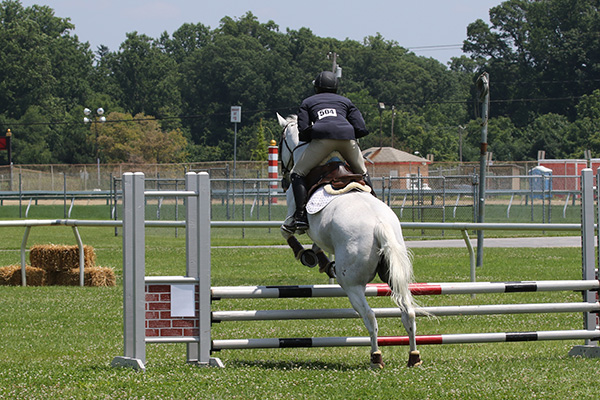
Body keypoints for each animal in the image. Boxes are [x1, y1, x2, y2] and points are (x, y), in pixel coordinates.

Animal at [278, 113, 422, 368]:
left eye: (279, 143)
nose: (283, 177)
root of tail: (379, 225)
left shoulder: (294, 216)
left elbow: (288, 231)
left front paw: (305, 256)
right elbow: (318, 244)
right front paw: (322, 261)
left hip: (352, 285)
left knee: (370, 316)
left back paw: (376, 357)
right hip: (394, 274)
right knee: (408, 311)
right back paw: (413, 357)